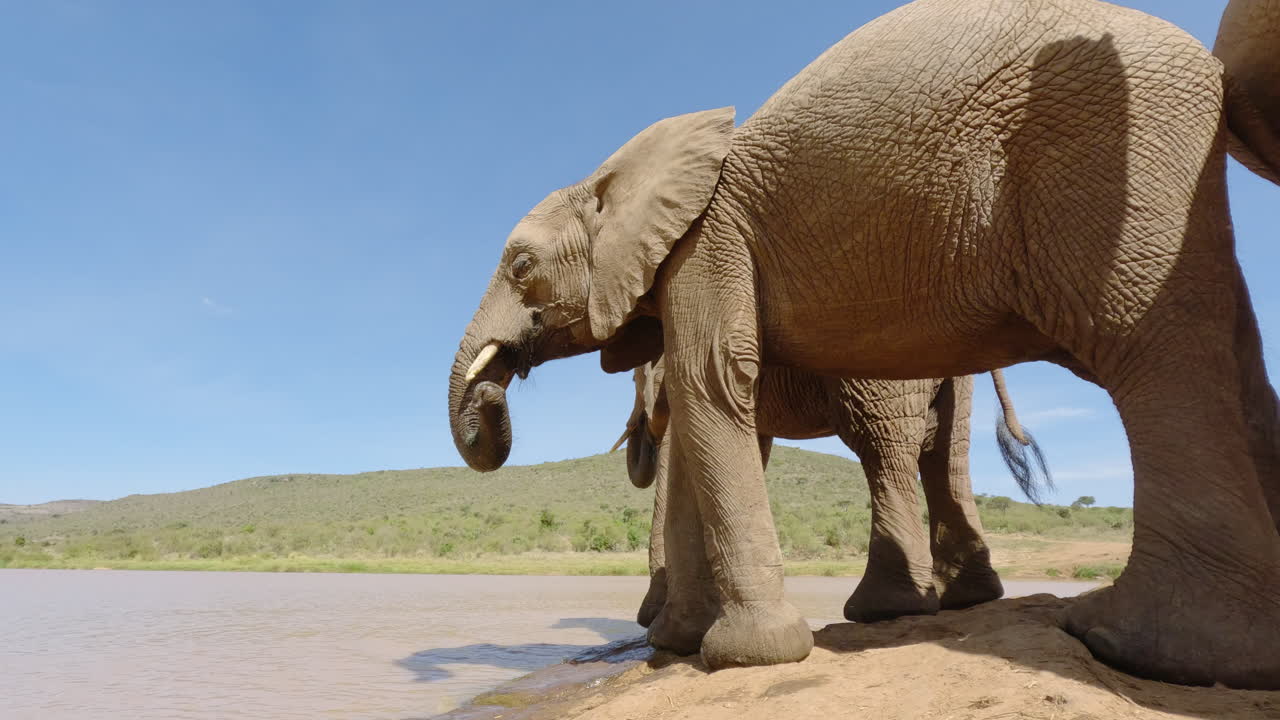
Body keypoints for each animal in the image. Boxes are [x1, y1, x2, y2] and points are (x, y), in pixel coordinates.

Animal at [612, 361, 1048, 628]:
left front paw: (652, 618)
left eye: (633, 379)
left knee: (883, 448)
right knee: (946, 455)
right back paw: (969, 596)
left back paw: (881, 609)